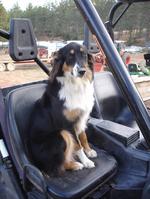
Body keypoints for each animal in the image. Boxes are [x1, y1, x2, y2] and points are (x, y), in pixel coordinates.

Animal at [26, 42, 97, 176]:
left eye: (84, 55)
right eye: (70, 56)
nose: (82, 71)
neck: (76, 84)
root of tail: (38, 165)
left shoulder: (81, 118)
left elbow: (83, 136)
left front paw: (89, 151)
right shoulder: (68, 124)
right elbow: (78, 145)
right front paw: (86, 161)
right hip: (61, 134)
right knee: (58, 166)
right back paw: (76, 165)